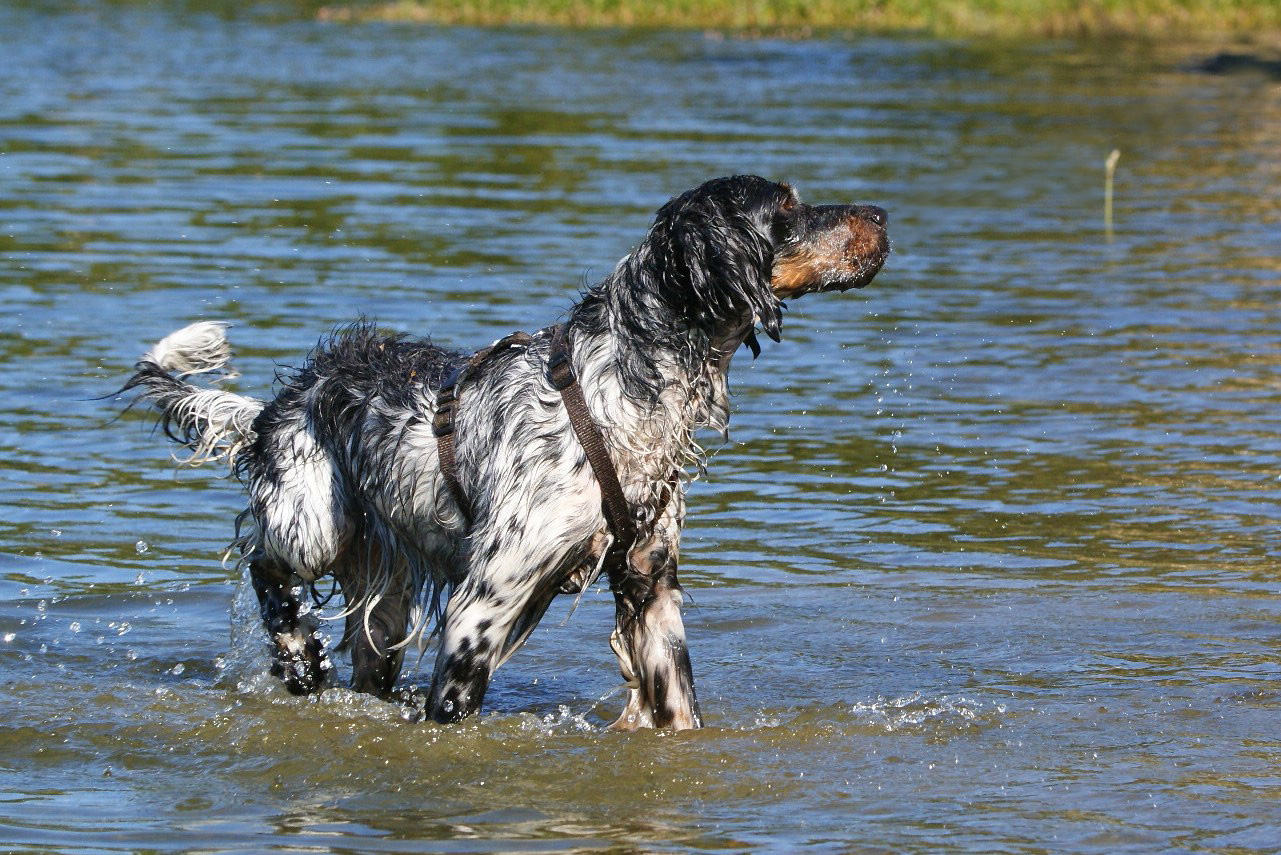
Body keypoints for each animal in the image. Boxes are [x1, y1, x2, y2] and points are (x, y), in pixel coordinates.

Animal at [122, 174, 891, 728]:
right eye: (785, 209)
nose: (883, 214)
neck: (618, 389)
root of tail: (285, 397)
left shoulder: (648, 583)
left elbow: (677, 704)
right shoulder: (484, 603)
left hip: (384, 591)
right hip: (313, 521)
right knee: (267, 566)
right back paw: (297, 656)